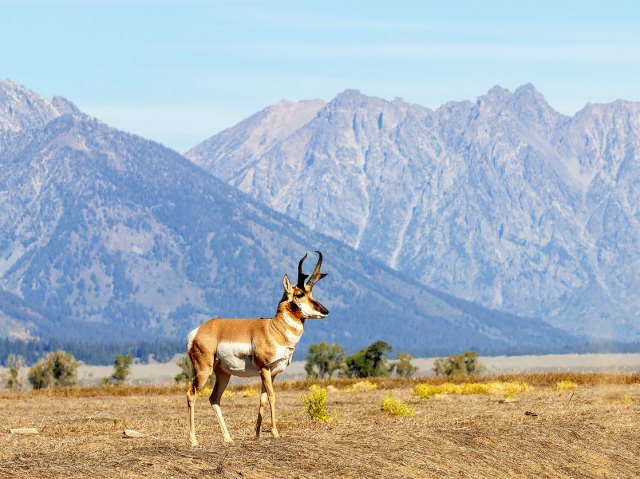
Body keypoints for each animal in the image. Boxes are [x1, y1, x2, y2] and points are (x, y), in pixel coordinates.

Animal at [184, 253, 324, 444]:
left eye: (311, 293)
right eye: (300, 294)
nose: (325, 311)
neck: (273, 328)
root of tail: (198, 331)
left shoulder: (272, 373)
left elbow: (263, 399)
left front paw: (257, 434)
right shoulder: (264, 369)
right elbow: (272, 397)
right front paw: (275, 432)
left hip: (223, 374)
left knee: (214, 398)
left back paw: (228, 438)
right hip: (203, 371)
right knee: (191, 394)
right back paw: (193, 440)